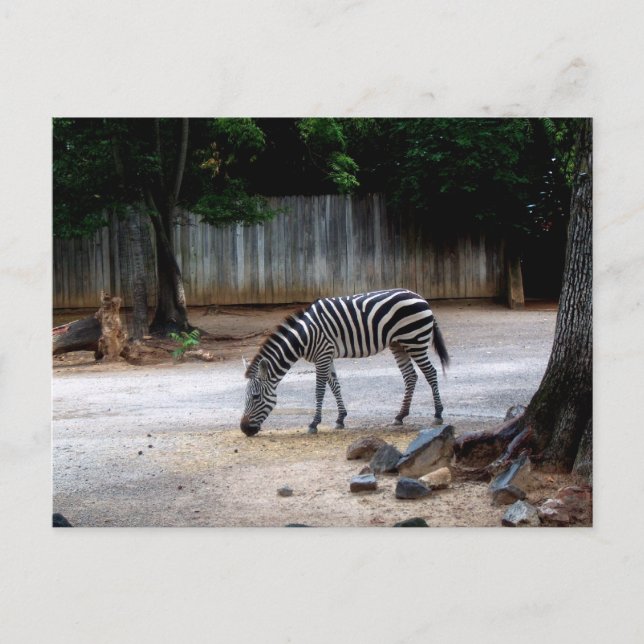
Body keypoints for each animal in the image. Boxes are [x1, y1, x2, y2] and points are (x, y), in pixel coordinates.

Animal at [240, 288, 449, 436]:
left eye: (255, 397)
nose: (244, 429)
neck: (304, 336)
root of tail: (420, 297)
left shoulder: (323, 355)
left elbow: (320, 390)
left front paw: (314, 423)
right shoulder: (326, 356)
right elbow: (335, 386)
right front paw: (340, 419)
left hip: (415, 340)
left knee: (430, 372)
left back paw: (438, 414)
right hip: (398, 343)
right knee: (410, 376)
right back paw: (400, 416)